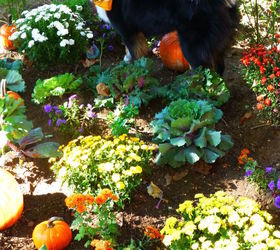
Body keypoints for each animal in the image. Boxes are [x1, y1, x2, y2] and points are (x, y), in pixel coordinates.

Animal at [94, 0, 238, 74]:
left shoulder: (127, 31)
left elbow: (134, 53)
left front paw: (133, 69)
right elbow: (129, 49)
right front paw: (128, 59)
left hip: (191, 46)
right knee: (218, 68)